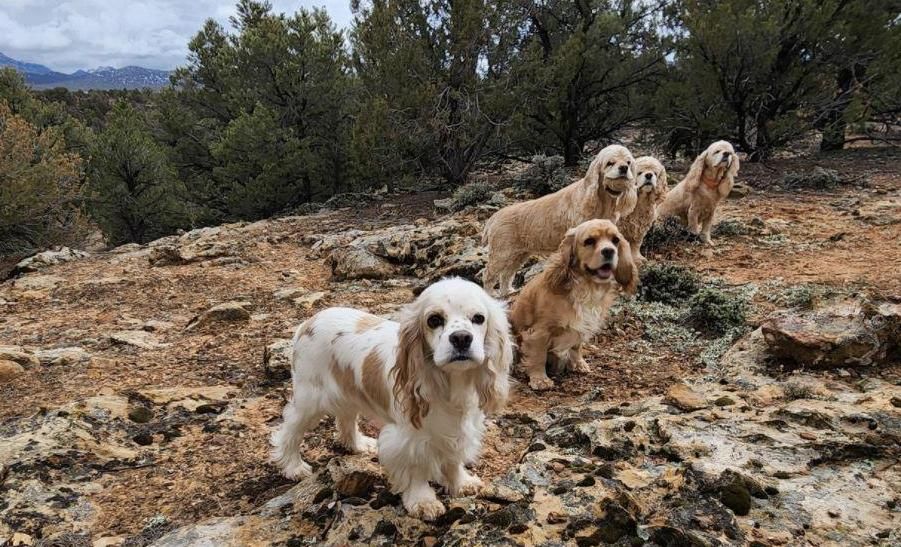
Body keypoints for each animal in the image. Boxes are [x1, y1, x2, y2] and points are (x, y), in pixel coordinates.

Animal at [482, 144, 636, 296]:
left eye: (628, 162)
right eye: (610, 163)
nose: (624, 168)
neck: (603, 200)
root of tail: (494, 217)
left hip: (518, 254)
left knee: (507, 274)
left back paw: (507, 291)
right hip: (501, 253)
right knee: (489, 275)